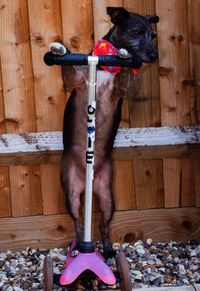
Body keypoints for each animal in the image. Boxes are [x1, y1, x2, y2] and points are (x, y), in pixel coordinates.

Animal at [49, 6, 159, 258]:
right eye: (136, 32)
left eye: (153, 36)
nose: (154, 56)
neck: (105, 66)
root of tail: (87, 181)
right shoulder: (74, 81)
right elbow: (67, 66)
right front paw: (60, 49)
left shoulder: (122, 89)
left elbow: (125, 75)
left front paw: (125, 56)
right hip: (70, 192)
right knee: (79, 223)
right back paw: (78, 248)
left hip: (108, 197)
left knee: (102, 224)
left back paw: (107, 249)